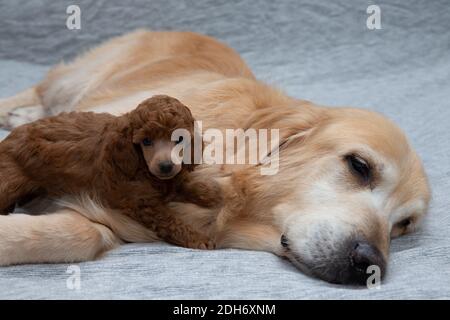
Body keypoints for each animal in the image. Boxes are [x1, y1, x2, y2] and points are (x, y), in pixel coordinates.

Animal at [0, 95, 221, 250]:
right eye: (146, 141)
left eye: (180, 139)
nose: (165, 166)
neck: (140, 164)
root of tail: (9, 139)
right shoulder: (141, 202)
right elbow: (170, 221)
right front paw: (198, 238)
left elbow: (183, 183)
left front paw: (210, 192)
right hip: (9, 182)